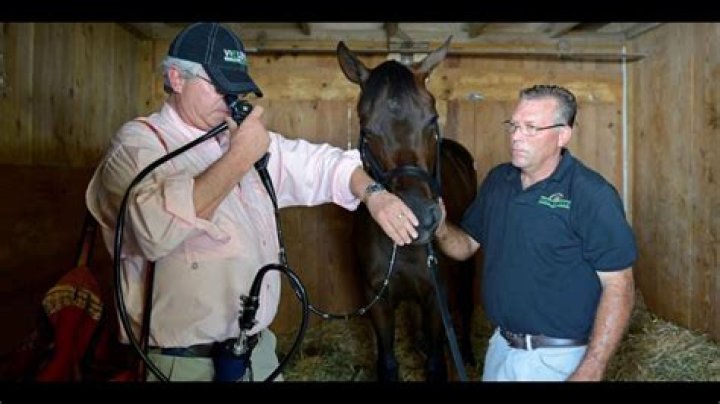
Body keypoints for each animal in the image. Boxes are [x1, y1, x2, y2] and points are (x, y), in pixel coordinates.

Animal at [337, 39, 478, 381]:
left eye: (432, 119)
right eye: (367, 129)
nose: (419, 218)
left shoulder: (437, 295)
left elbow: (436, 365)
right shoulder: (377, 298)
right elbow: (388, 362)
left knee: (466, 306)